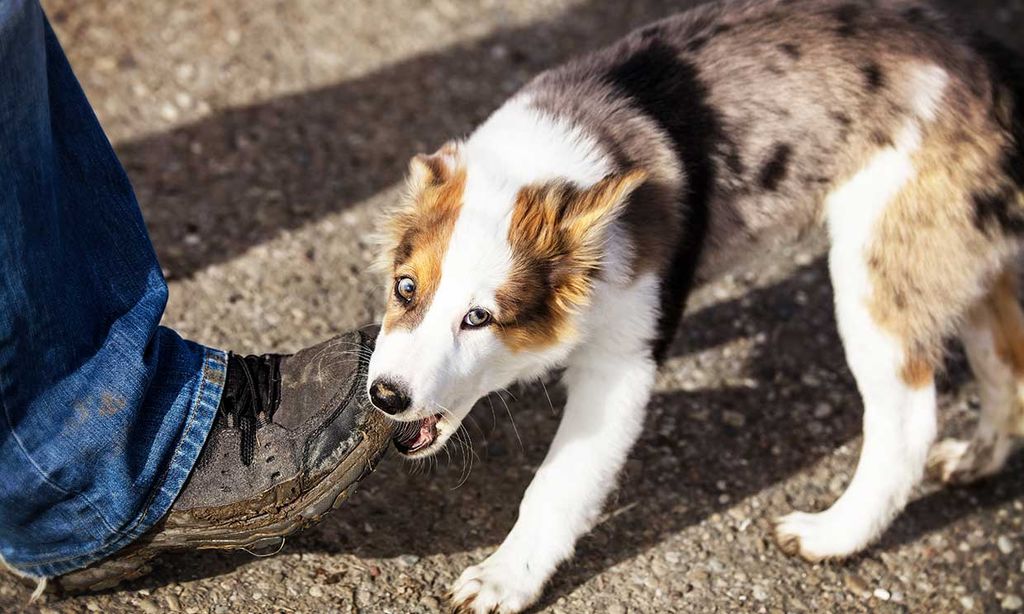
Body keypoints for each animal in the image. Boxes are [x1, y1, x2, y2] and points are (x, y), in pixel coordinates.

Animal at [364, 1, 1019, 609]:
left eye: (479, 317)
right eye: (405, 288)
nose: (385, 396)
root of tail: (985, 64)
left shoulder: (622, 364)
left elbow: (559, 483)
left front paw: (506, 577)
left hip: (876, 266)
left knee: (908, 419)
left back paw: (833, 534)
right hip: (969, 256)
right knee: (1005, 363)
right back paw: (977, 458)